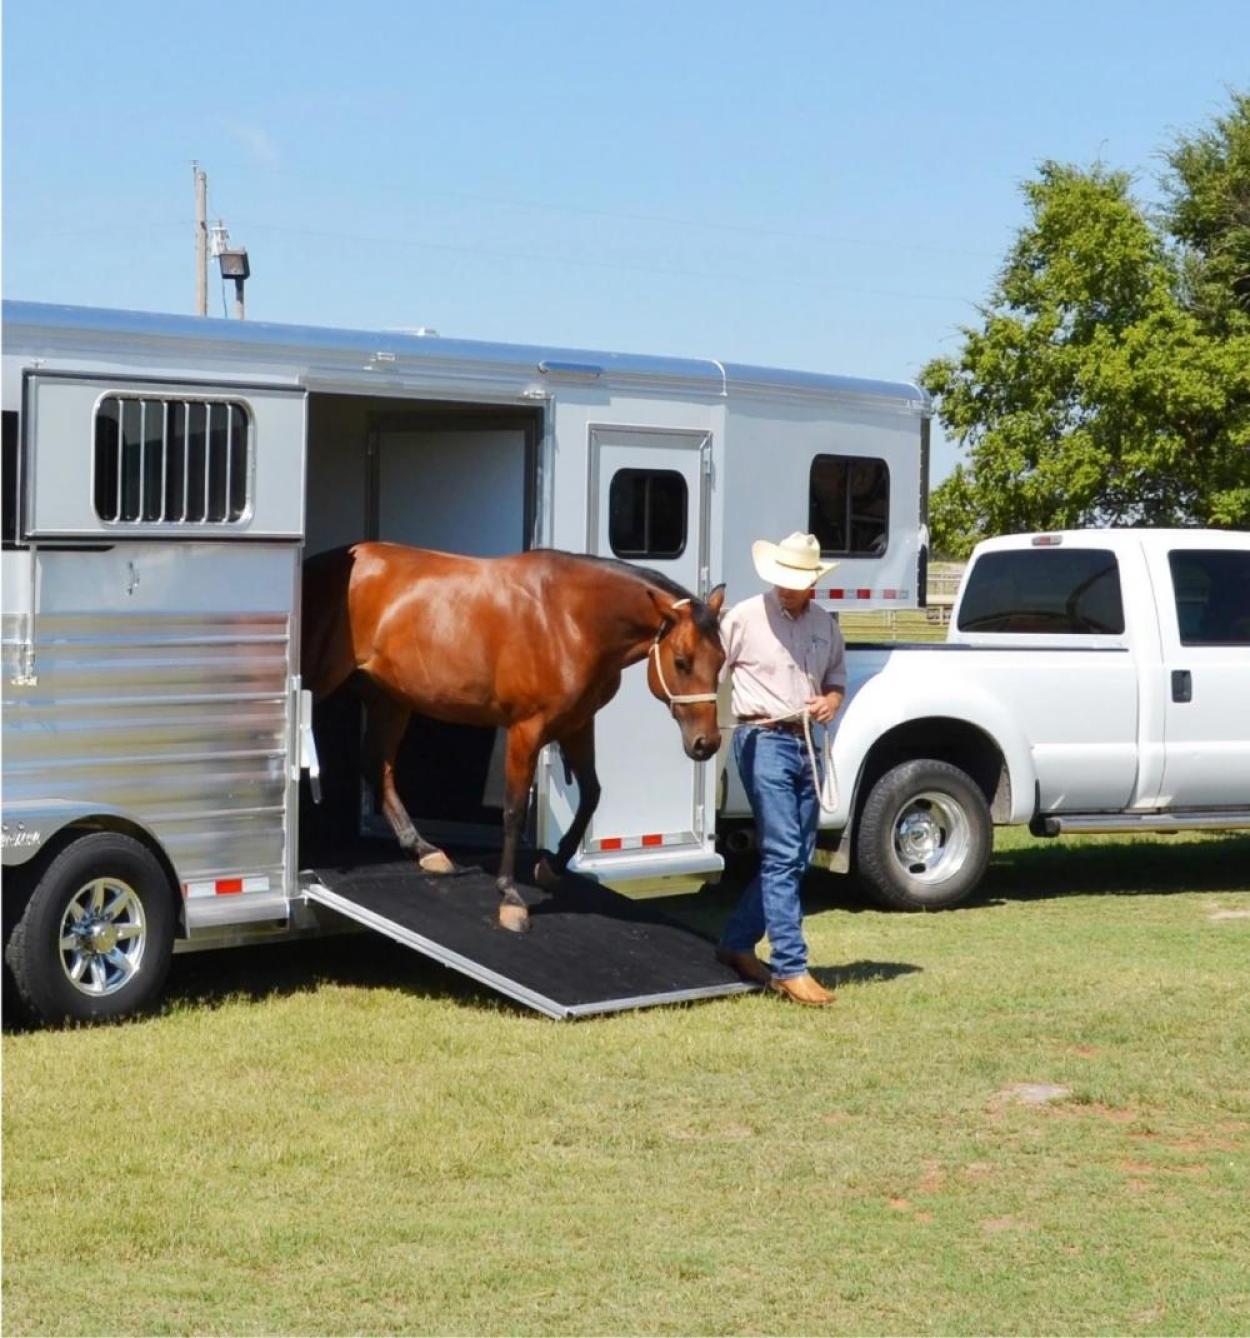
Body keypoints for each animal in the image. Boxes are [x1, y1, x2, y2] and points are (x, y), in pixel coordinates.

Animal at [303, 540, 728, 931]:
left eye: (722, 660)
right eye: (682, 661)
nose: (706, 744)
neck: (568, 620)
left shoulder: (577, 724)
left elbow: (591, 793)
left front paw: (552, 865)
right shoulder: (526, 729)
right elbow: (513, 809)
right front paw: (510, 897)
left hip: (390, 698)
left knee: (377, 766)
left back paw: (424, 850)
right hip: (324, 683)